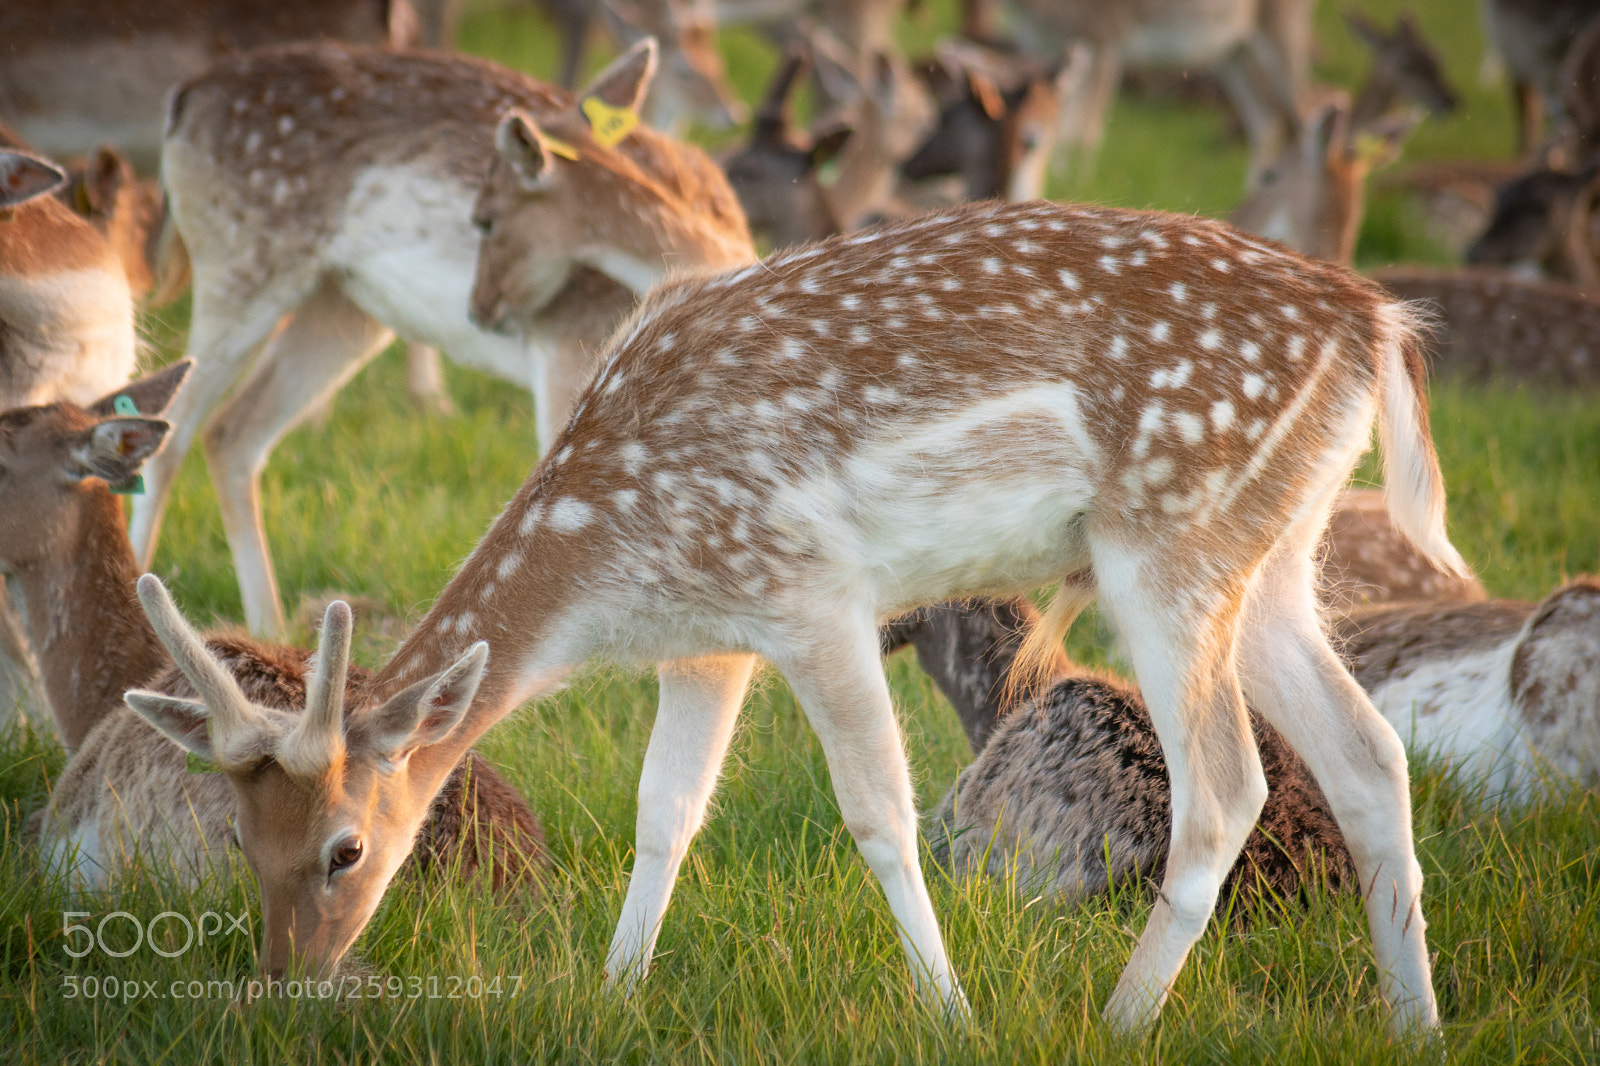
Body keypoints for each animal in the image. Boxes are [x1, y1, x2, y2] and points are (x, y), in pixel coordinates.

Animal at [130, 40, 756, 639]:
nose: (479, 311)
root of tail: (183, 99)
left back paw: (271, 627)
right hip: (237, 268)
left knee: (232, 432)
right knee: (169, 429)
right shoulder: (565, 347)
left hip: (341, 306)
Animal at [132, 198, 1465, 1035]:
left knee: (1228, 786)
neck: (614, 563)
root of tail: (1379, 329)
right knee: (1369, 756)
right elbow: (663, 813)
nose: (285, 985)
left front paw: (951, 1011)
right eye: (240, 839)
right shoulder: (711, 642)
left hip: (1170, 540)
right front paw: (615, 993)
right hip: (1272, 554)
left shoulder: (807, 591)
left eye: (346, 848)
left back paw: (1123, 1017)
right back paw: (1416, 1022)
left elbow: (876, 810)